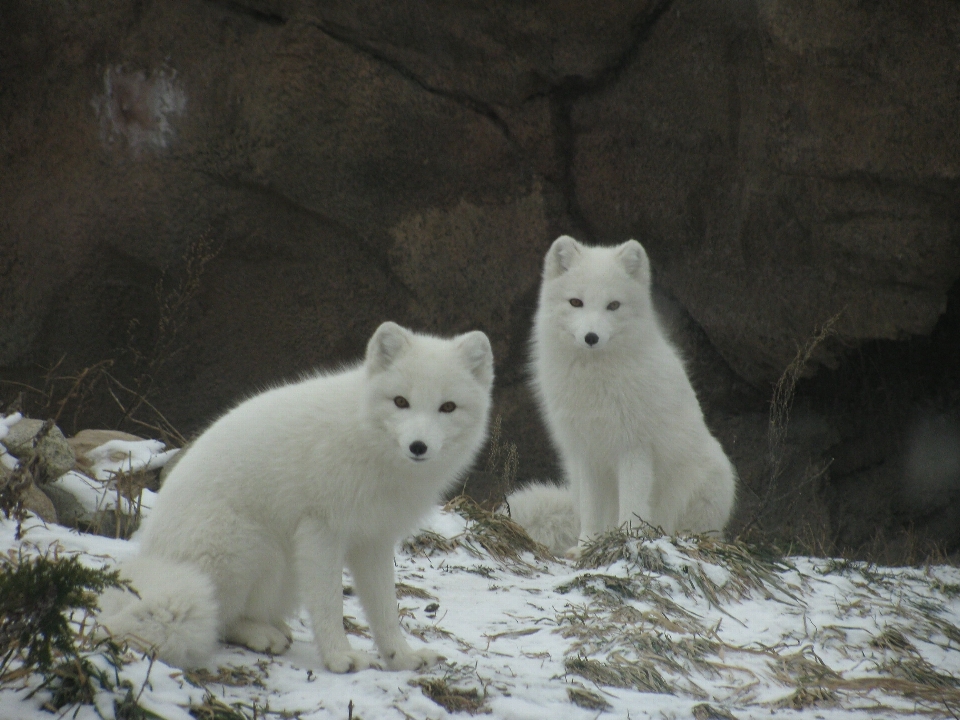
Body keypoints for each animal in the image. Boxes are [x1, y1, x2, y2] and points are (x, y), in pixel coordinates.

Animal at [99, 324, 496, 672]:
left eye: (448, 407)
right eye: (401, 402)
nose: (418, 446)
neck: (367, 440)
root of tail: (150, 558)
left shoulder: (374, 540)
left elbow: (385, 610)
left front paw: (402, 657)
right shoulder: (321, 530)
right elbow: (329, 605)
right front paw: (340, 657)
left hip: (286, 569)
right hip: (253, 547)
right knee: (221, 619)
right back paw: (261, 635)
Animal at [510, 236, 736, 556]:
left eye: (613, 305)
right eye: (576, 302)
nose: (591, 337)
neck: (595, 383)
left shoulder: (635, 448)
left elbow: (632, 506)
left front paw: (627, 541)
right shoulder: (586, 452)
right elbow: (591, 512)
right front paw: (586, 546)